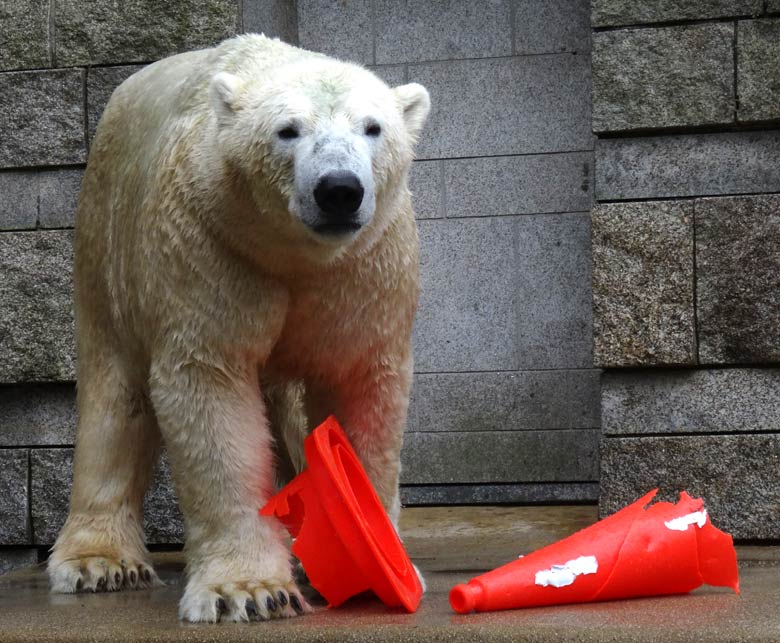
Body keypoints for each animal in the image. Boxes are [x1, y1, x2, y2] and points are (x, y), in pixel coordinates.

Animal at [46, 34, 430, 624]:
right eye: (288, 129)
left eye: (373, 127)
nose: (339, 189)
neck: (294, 255)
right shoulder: (209, 246)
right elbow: (211, 387)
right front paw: (249, 591)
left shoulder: (365, 266)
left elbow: (359, 384)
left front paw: (369, 559)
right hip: (107, 241)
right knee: (114, 395)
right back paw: (100, 562)